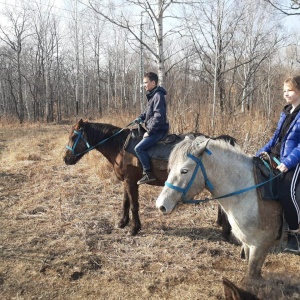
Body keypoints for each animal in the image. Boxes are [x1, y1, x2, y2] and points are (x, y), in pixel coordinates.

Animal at [63, 119, 232, 237]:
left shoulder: (131, 182)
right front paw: (122, 222)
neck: (120, 147)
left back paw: (225, 230)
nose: (65, 159)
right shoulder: (127, 181)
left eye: (73, 136)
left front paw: (134, 228)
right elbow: (125, 202)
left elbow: (133, 205)